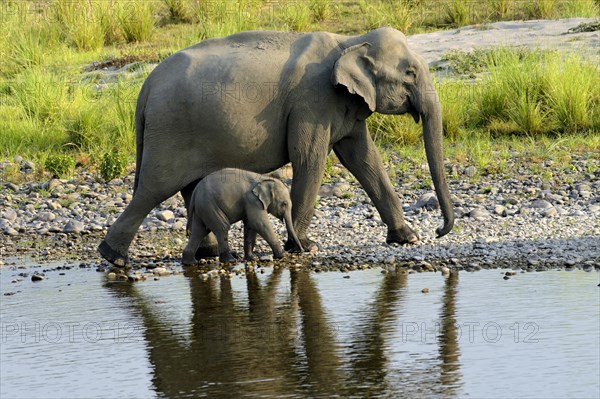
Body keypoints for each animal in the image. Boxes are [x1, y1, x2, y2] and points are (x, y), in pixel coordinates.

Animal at [99, 26, 454, 268]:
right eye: (410, 73)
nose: (439, 231)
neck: (349, 41)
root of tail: (145, 88)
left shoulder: (346, 105)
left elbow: (364, 159)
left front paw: (407, 238)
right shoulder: (312, 101)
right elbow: (309, 159)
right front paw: (304, 246)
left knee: (188, 187)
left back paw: (206, 253)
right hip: (170, 130)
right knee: (154, 189)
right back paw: (114, 257)